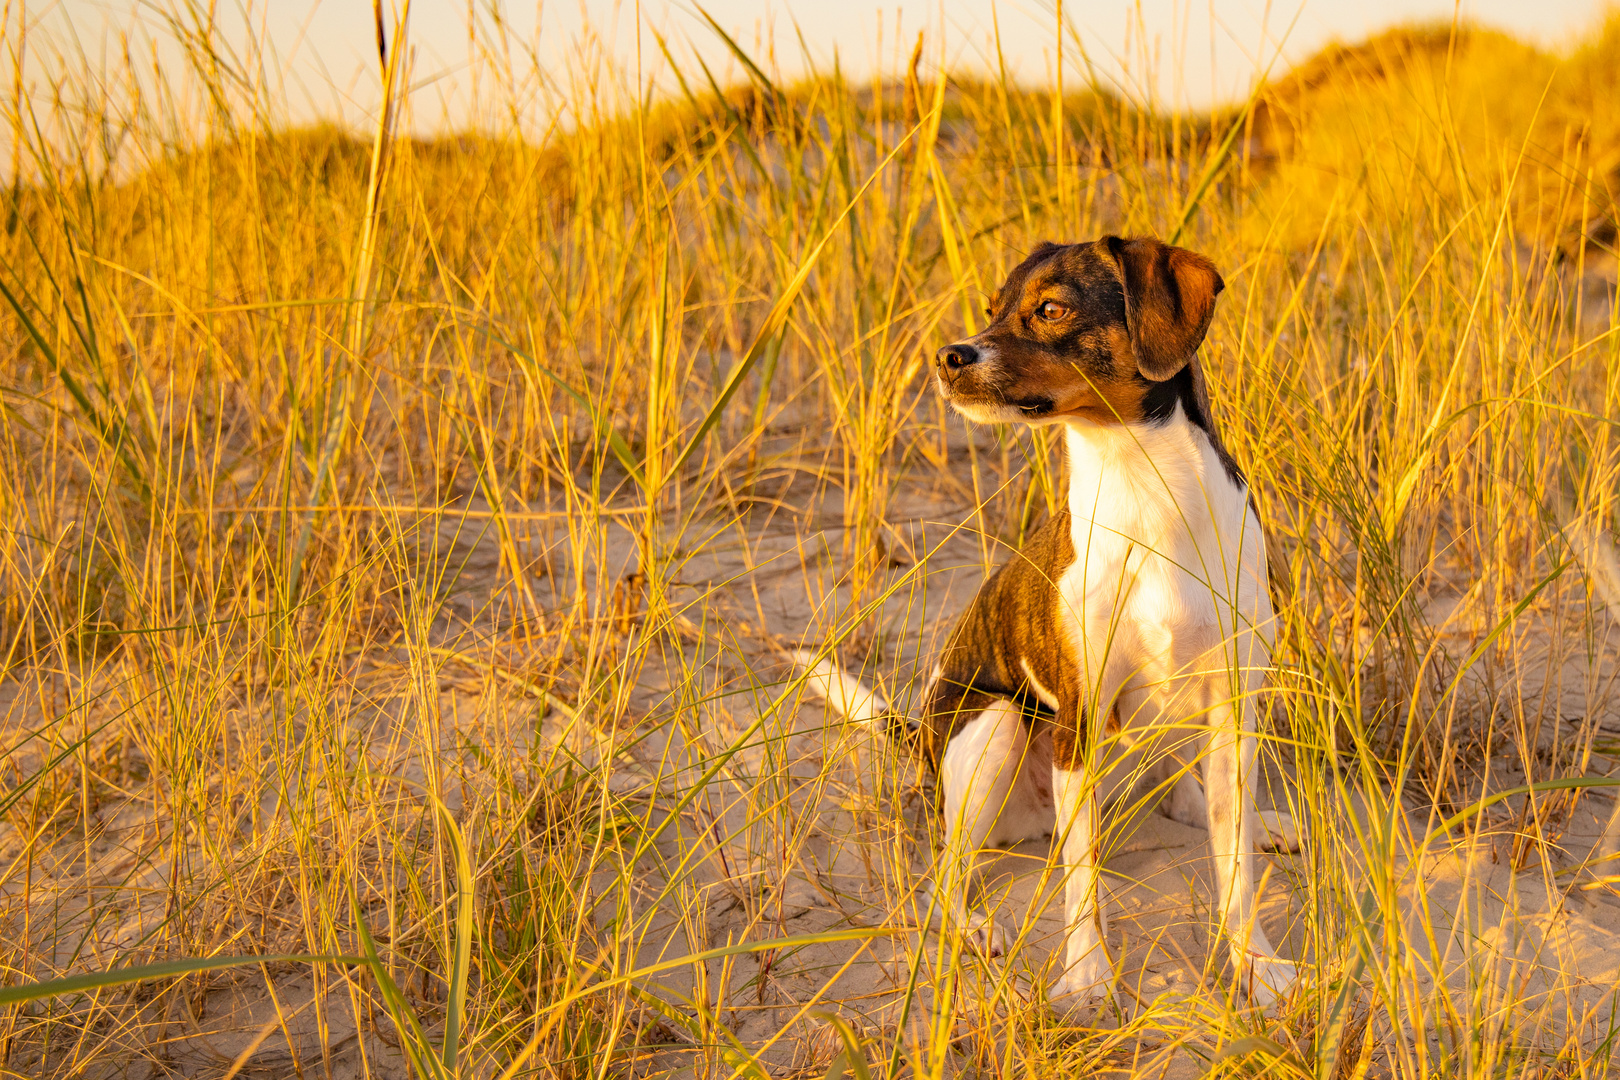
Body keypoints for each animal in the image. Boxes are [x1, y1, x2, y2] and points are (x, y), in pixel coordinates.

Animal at [803, 236, 1296, 1016]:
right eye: (993, 308)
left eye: (1052, 309)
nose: (947, 356)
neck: (1143, 486)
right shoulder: (1079, 722)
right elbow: (1081, 879)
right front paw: (1089, 975)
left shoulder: (1232, 706)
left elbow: (1235, 867)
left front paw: (1257, 964)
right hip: (998, 724)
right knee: (945, 876)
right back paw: (976, 925)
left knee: (1191, 793)